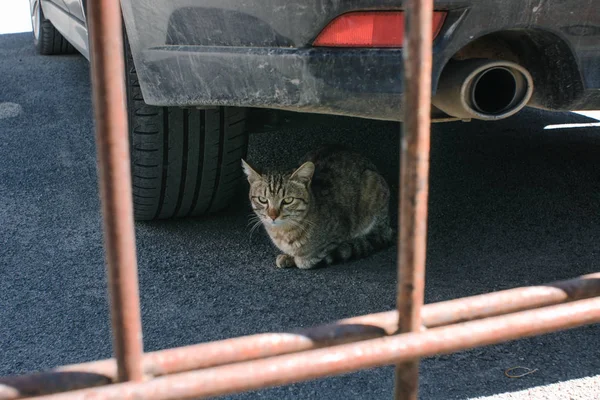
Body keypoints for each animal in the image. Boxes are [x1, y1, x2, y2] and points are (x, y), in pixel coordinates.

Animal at [241, 144, 396, 268]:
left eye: (288, 200)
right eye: (262, 199)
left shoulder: (339, 232)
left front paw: (298, 259)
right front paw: (288, 257)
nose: (273, 216)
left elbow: (311, 257)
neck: (283, 233)